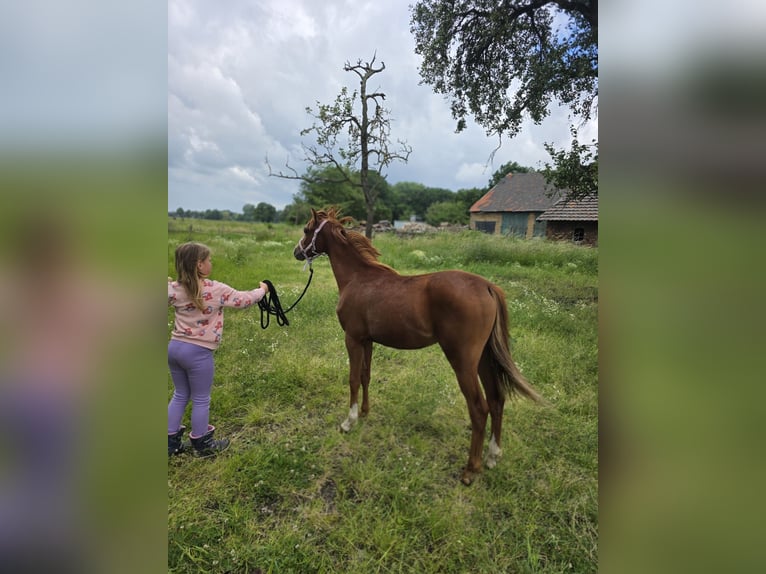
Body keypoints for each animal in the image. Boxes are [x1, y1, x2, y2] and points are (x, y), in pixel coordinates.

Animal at [294, 208, 541, 485]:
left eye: (306, 229)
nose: (297, 252)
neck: (358, 279)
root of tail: (487, 286)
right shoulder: (367, 341)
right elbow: (366, 376)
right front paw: (365, 413)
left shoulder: (353, 339)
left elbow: (353, 379)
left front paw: (349, 422)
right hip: (485, 359)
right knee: (497, 400)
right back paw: (492, 456)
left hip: (463, 362)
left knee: (479, 409)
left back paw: (470, 469)